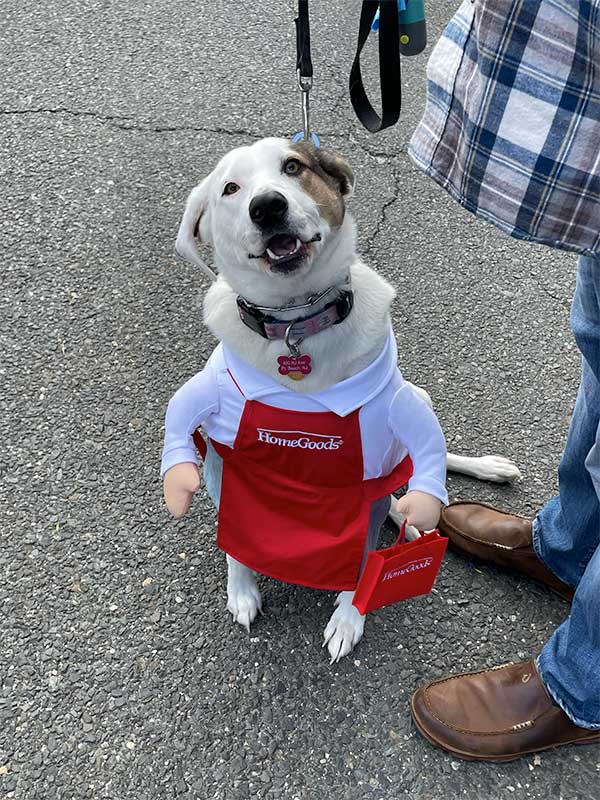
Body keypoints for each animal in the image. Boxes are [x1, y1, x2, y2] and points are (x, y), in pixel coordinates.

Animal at [164, 138, 520, 664]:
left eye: (293, 167)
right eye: (230, 188)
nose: (267, 206)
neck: (296, 326)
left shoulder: (368, 466)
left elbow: (364, 553)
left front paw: (349, 618)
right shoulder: (227, 460)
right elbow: (238, 537)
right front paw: (243, 590)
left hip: (411, 409)